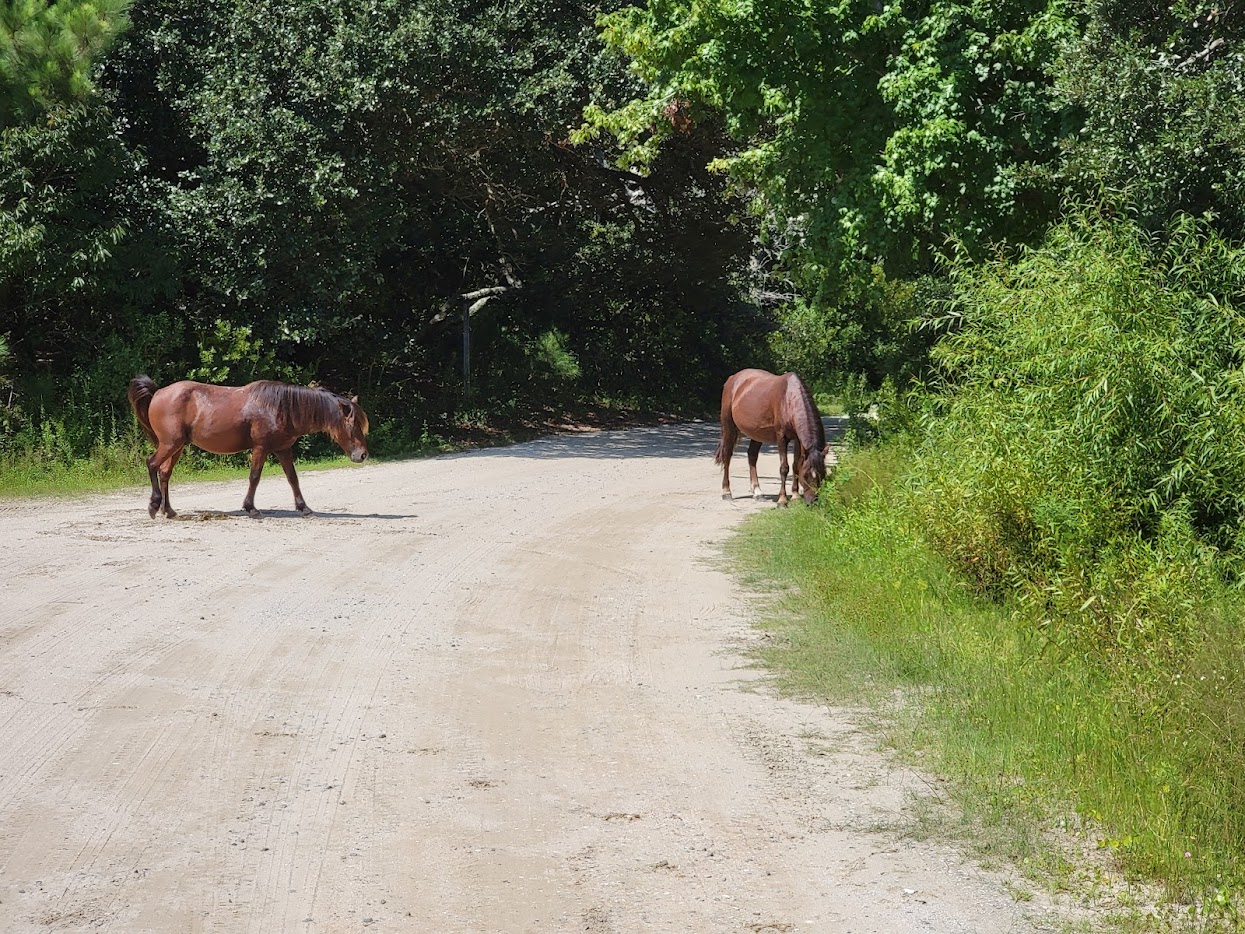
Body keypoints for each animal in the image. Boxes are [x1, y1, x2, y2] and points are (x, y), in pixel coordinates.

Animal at [127, 375, 369, 519]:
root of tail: (158, 393)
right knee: (152, 464)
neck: (281, 408)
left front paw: (304, 507)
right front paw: (251, 508)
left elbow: (293, 478)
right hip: (170, 444)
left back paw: (168, 510)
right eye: (353, 425)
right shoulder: (260, 448)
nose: (363, 455)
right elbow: (254, 477)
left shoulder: (283, 450)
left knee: (165, 472)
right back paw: (154, 506)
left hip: (177, 446)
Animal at [713, 368, 828, 506]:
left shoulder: (797, 439)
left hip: (756, 434)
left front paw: (795, 496)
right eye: (806, 475)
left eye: (823, 474)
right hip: (728, 428)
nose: (813, 501)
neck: (789, 398)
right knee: (727, 456)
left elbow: (795, 465)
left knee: (752, 456)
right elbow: (784, 468)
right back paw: (726, 492)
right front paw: (782, 500)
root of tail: (732, 379)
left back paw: (757, 492)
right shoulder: (781, 437)